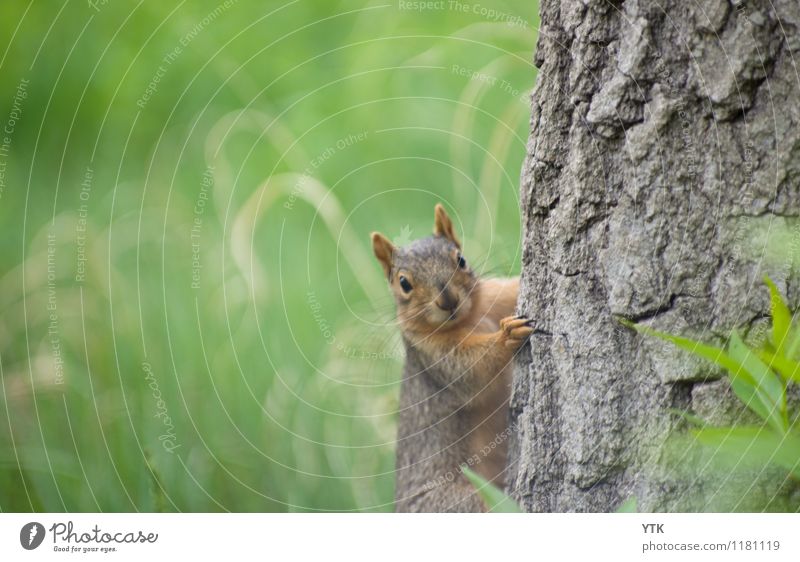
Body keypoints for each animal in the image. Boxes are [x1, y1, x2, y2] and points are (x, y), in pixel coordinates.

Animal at [370, 203, 532, 510]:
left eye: (461, 259)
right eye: (404, 283)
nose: (447, 301)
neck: (469, 319)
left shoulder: (495, 295)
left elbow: (510, 288)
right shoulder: (434, 357)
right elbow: (471, 369)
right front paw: (506, 336)